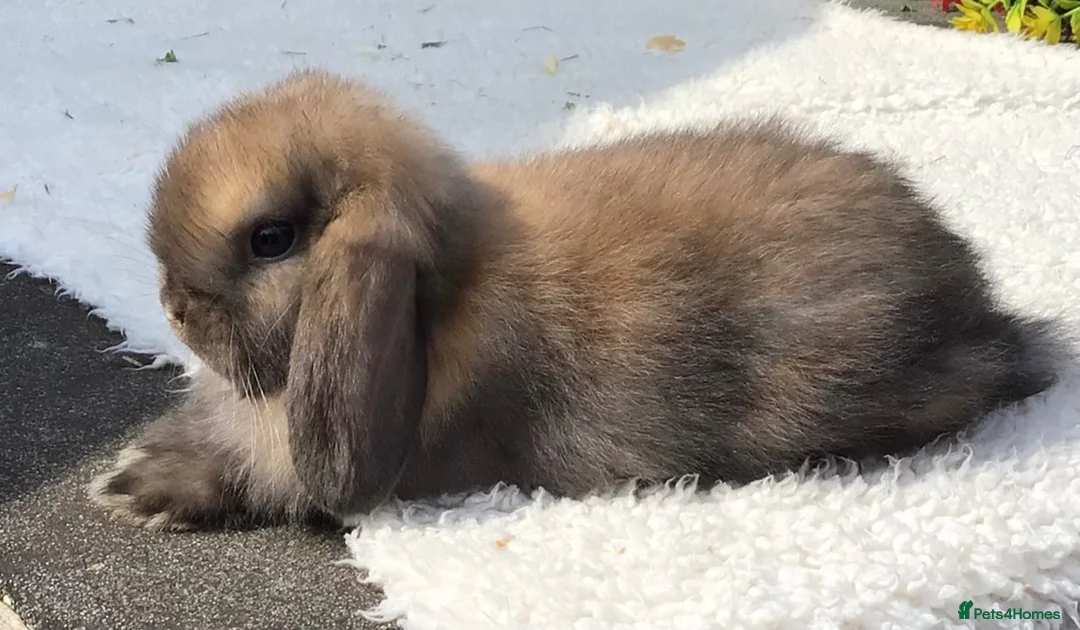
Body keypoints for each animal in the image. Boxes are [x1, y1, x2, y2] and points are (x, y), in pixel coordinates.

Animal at [89, 68, 1063, 532]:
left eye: (272, 240)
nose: (173, 308)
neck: (436, 301)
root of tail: (983, 315)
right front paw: (131, 467)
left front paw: (142, 489)